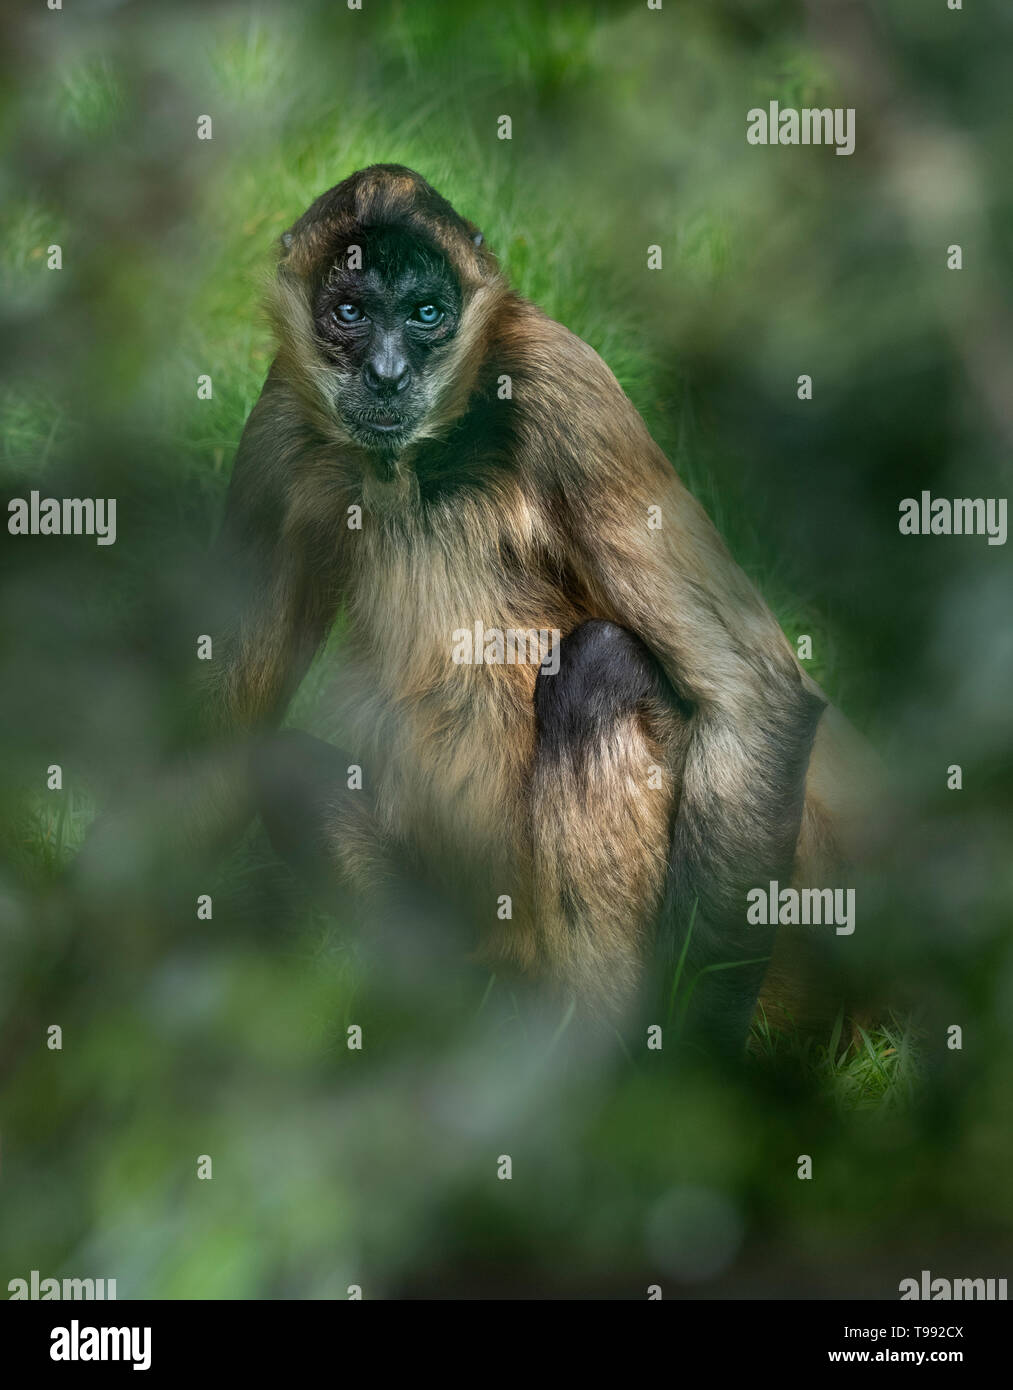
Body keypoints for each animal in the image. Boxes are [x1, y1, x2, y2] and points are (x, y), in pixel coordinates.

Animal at [200, 165, 878, 1050]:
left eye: (426, 314)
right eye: (350, 313)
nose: (386, 374)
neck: (416, 460)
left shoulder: (560, 380)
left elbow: (752, 696)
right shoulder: (281, 416)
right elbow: (229, 729)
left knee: (600, 666)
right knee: (281, 769)